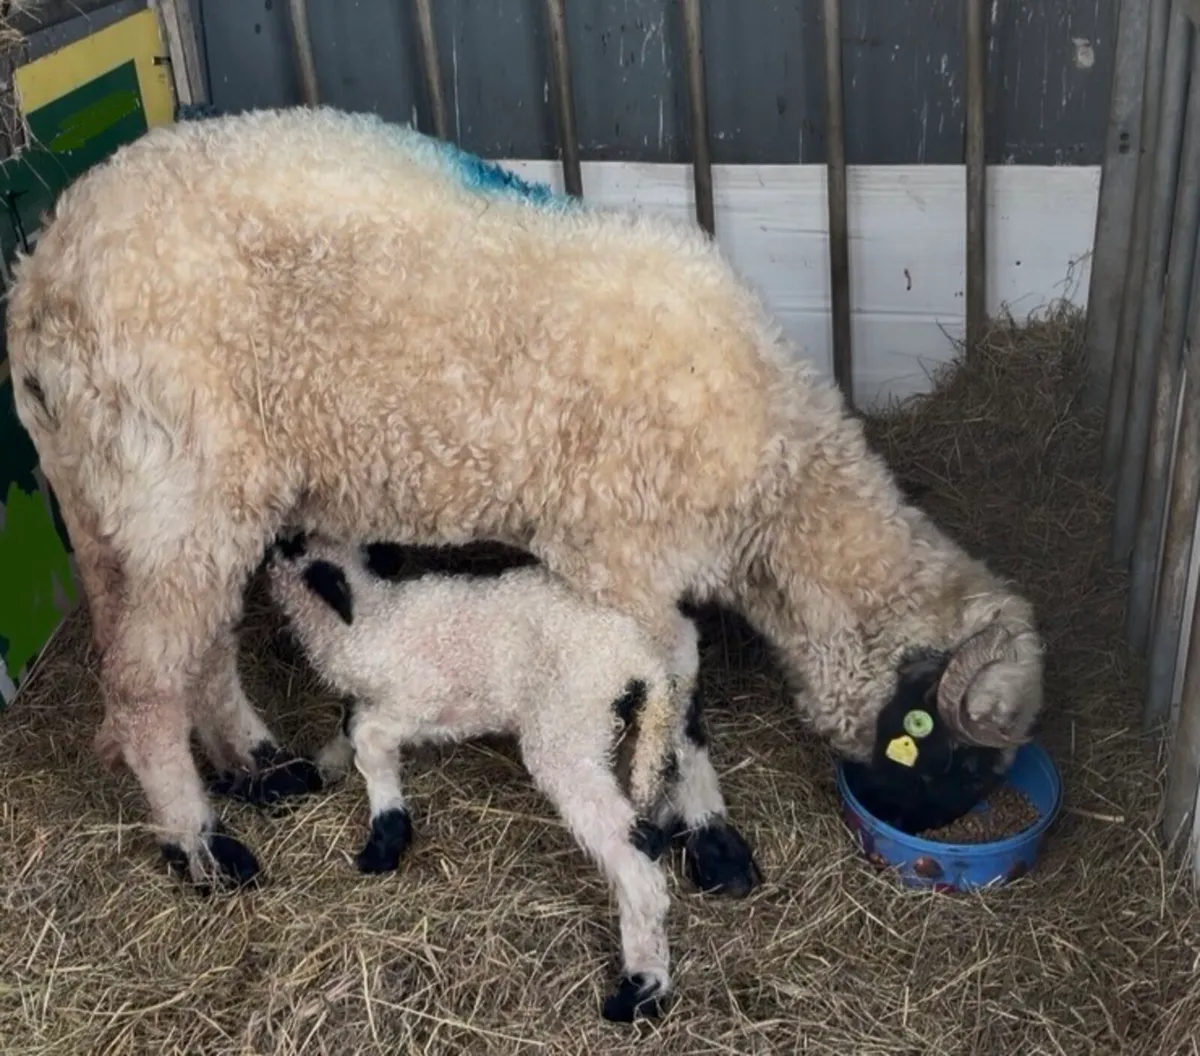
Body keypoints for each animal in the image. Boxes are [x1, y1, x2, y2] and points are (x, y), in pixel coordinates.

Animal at [6, 104, 1044, 894]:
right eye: (953, 755)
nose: (929, 832)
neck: (775, 478)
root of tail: (40, 276)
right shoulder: (618, 560)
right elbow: (682, 683)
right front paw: (701, 825)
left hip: (145, 493)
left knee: (196, 643)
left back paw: (258, 763)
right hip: (180, 478)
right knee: (144, 683)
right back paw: (203, 844)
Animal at [263, 529, 695, 1022]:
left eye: (295, 548)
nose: (277, 538)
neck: (368, 618)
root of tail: (644, 665)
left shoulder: (420, 699)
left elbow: (367, 738)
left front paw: (386, 839)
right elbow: (349, 724)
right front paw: (316, 770)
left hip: (568, 727)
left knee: (634, 849)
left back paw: (642, 986)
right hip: (620, 737)